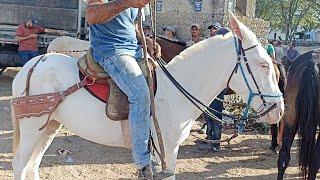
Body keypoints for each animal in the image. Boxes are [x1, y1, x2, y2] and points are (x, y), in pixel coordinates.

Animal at [11, 14, 284, 179]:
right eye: (263, 64)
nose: (279, 110)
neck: (175, 92)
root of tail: (31, 66)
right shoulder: (168, 148)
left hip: (49, 127)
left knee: (32, 165)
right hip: (32, 127)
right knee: (20, 164)